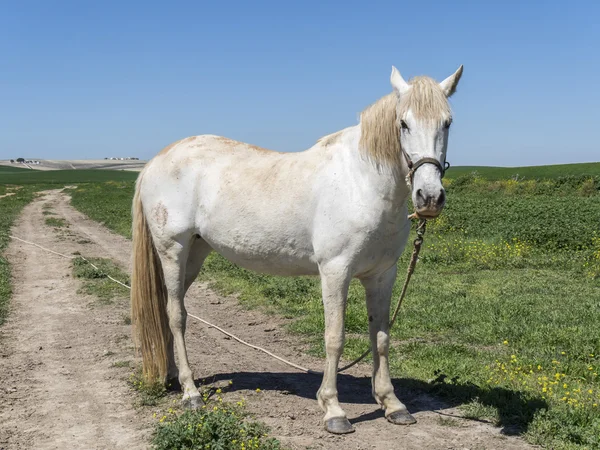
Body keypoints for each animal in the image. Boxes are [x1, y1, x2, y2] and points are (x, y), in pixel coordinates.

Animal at [131, 65, 464, 434]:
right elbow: (335, 338)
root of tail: (155, 161)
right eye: (403, 123)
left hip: (195, 253)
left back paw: (173, 377)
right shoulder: (335, 270)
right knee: (176, 316)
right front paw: (333, 410)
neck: (362, 183)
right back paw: (190, 392)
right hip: (172, 250)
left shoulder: (382, 275)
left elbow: (380, 337)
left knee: (167, 309)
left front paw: (391, 403)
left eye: (447, 123)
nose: (429, 198)